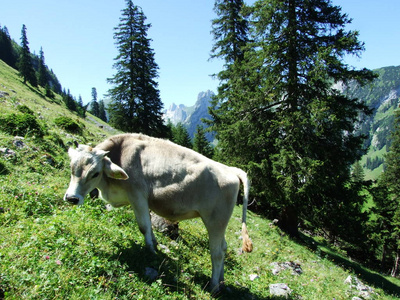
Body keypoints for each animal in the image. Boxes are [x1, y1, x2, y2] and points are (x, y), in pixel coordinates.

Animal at [63, 133, 252, 290]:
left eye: (95, 173)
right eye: (71, 167)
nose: (72, 198)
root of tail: (231, 169)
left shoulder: (137, 195)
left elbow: (143, 227)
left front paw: (150, 252)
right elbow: (149, 226)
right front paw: (154, 244)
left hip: (215, 221)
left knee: (217, 253)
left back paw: (213, 286)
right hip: (220, 222)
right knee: (224, 247)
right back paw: (221, 281)